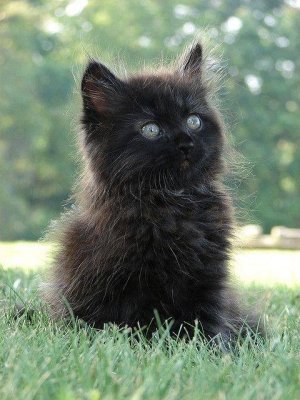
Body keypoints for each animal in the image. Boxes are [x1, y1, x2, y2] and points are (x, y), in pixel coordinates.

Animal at [42, 41, 262, 344]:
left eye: (193, 121)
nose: (186, 143)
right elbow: (138, 323)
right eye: (151, 129)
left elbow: (206, 320)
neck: (172, 200)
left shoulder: (208, 276)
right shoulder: (131, 280)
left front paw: (210, 348)